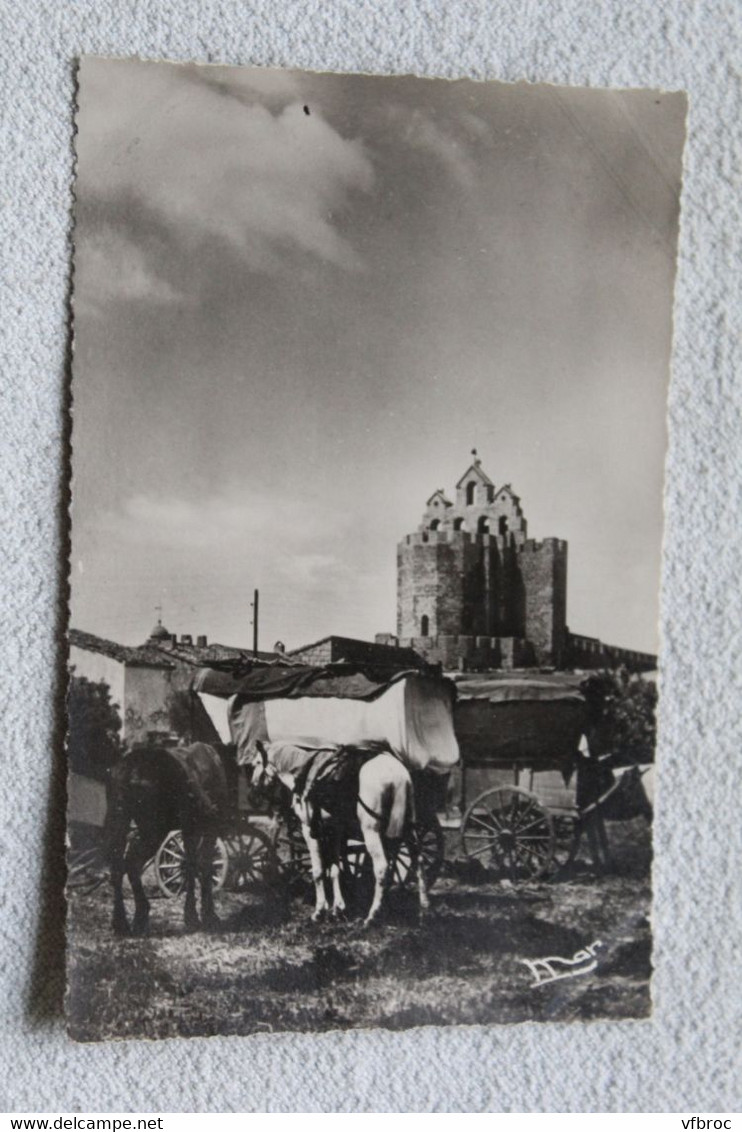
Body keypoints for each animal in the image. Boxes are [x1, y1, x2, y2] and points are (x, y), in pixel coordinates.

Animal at [103, 738, 226, 932]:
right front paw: (202, 916)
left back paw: (126, 921)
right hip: (154, 828)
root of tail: (128, 771)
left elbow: (194, 863)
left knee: (120, 864)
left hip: (120, 819)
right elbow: (199, 864)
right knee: (131, 861)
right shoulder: (205, 825)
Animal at [253, 742, 432, 928]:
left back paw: (373, 915)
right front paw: (338, 909)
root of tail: (398, 774)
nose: (253, 789)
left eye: (256, 763)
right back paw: (424, 911)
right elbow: (335, 869)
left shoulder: (309, 830)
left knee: (382, 867)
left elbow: (318, 870)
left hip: (371, 831)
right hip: (409, 829)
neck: (304, 772)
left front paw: (319, 911)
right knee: (419, 861)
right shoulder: (335, 830)